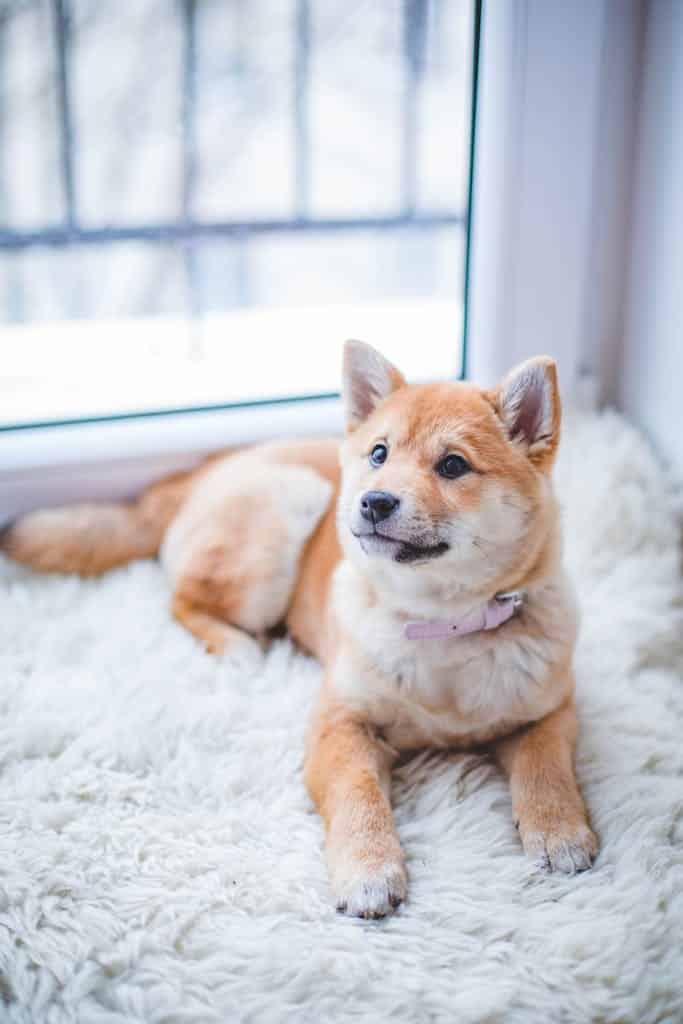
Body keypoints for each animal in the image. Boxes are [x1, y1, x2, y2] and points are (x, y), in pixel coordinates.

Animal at [1, 344, 598, 921]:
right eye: (379, 454)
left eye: (453, 465)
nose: (374, 501)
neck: (439, 624)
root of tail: (213, 466)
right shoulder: (341, 723)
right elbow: (359, 797)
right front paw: (368, 870)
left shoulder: (549, 709)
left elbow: (546, 766)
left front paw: (558, 829)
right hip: (283, 515)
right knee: (182, 599)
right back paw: (238, 647)